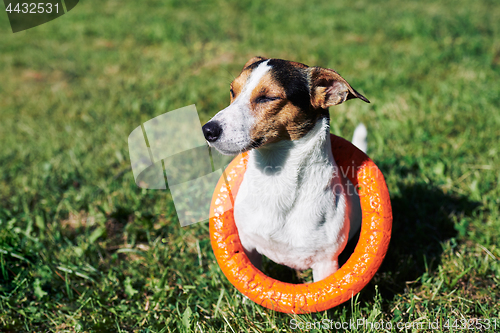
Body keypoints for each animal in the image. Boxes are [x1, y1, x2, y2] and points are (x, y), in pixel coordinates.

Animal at [201, 56, 370, 280]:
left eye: (268, 98)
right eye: (232, 91)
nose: (207, 130)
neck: (276, 179)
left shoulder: (326, 263)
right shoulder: (248, 246)